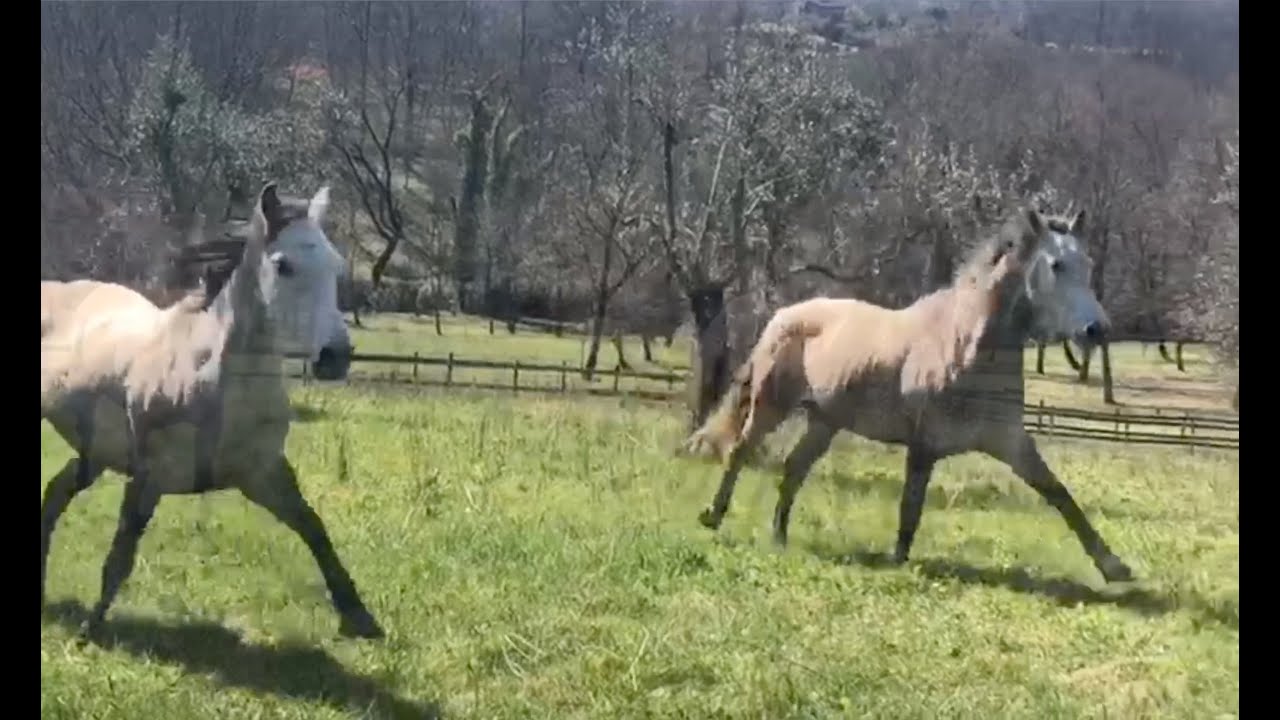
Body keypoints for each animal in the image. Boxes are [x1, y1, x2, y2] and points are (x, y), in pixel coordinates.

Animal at [40, 182, 385, 640]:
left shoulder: (264, 473)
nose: (336, 358)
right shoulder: (149, 476)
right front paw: (92, 628)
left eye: (335, 264)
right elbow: (122, 550)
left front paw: (360, 616)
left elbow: (313, 528)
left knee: (54, 495)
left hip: (95, 453)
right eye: (284, 265)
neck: (214, 382)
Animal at [686, 206, 1135, 584]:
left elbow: (1059, 495)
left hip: (825, 421)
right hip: (771, 405)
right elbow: (911, 507)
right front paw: (898, 561)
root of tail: (781, 316)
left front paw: (1115, 567)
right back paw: (712, 516)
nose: (1097, 330)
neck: (965, 346)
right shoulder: (925, 444)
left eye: (1088, 264)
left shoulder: (1010, 441)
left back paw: (779, 535)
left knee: (794, 468)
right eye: (1056, 265)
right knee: (740, 451)